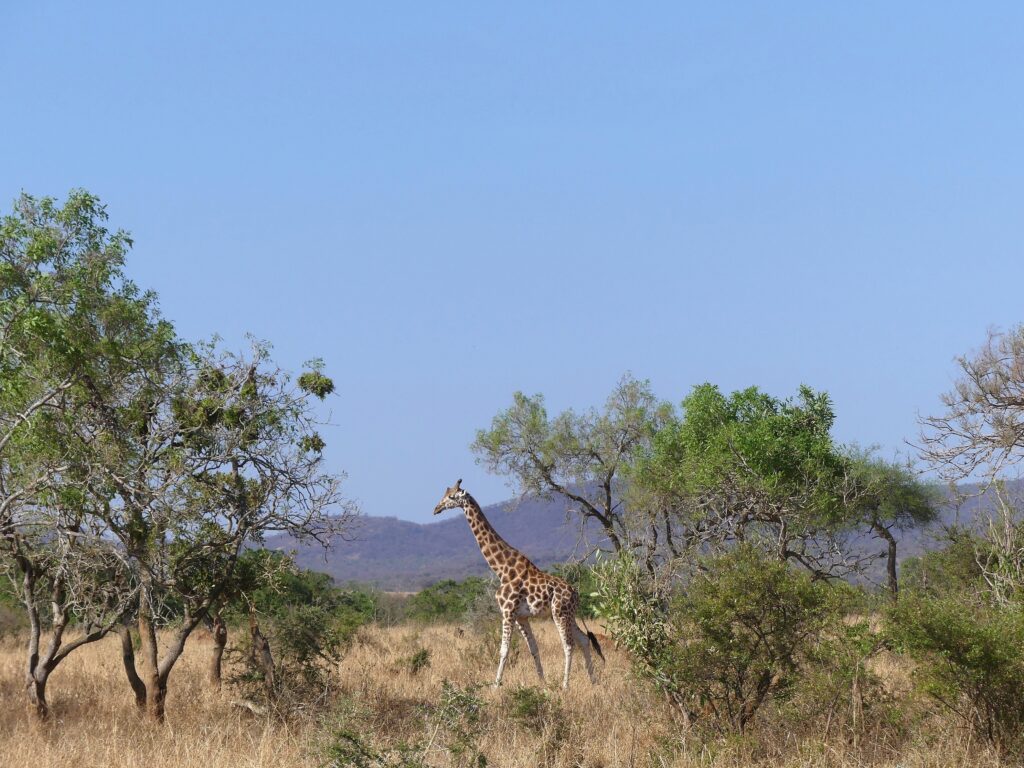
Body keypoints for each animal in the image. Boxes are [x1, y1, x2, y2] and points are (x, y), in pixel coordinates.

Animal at [432, 479, 604, 689]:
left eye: (451, 496)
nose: (436, 508)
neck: (502, 569)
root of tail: (576, 594)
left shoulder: (508, 611)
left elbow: (504, 650)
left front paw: (495, 686)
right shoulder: (522, 616)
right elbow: (533, 649)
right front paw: (542, 683)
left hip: (560, 613)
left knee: (568, 644)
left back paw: (565, 685)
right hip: (569, 615)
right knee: (584, 640)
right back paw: (594, 681)